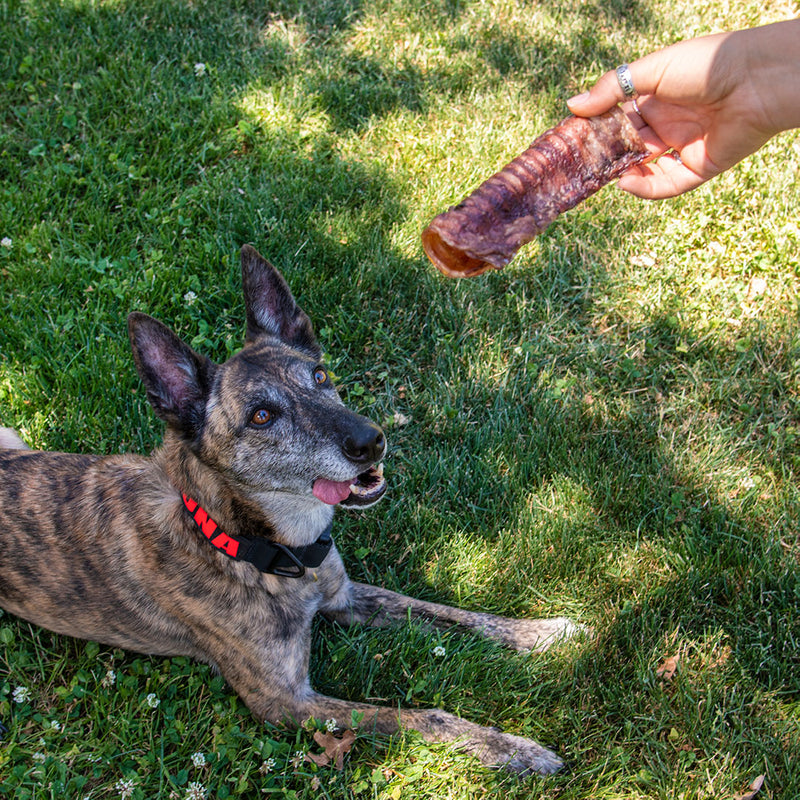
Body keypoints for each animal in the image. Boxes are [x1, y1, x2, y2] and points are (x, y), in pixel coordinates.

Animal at [0, 248, 580, 776]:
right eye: (261, 415)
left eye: (320, 376)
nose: (371, 441)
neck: (258, 545)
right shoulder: (287, 702)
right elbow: (424, 717)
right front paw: (514, 749)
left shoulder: (345, 596)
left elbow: (452, 613)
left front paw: (540, 632)